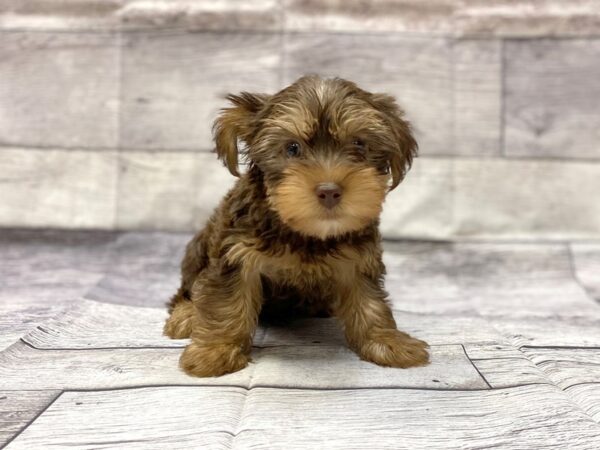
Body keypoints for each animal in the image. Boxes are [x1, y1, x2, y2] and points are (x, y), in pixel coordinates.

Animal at [162, 74, 428, 376]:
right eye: (292, 148)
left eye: (359, 144)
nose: (329, 191)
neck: (305, 233)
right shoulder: (236, 253)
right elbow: (226, 302)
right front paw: (215, 351)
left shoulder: (358, 258)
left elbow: (369, 301)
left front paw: (387, 341)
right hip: (198, 250)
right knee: (187, 288)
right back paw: (186, 314)